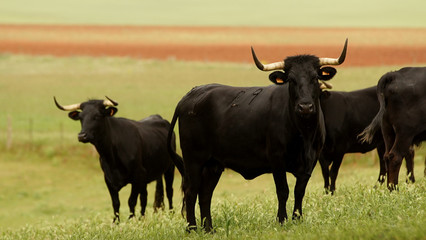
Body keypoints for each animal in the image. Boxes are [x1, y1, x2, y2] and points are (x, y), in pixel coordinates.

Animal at [166, 39, 346, 231]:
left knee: (205, 194)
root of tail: (190, 95)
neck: (304, 133)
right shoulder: (277, 159)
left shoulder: (310, 162)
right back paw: (192, 229)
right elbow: (283, 191)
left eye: (315, 78)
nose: (305, 107)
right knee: (191, 192)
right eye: (291, 79)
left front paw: (297, 219)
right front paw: (281, 221)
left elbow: (299, 191)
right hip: (194, 159)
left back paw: (209, 229)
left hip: (213, 164)